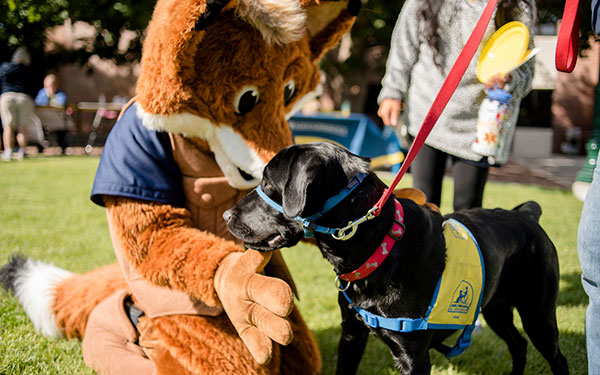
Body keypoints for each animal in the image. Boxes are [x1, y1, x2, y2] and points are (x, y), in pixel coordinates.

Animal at [223, 142, 568, 374]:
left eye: (268, 183)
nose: (227, 215)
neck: (379, 245)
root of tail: (527, 215)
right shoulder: (351, 335)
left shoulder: (413, 357)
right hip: (497, 308)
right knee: (518, 345)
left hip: (538, 314)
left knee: (556, 357)